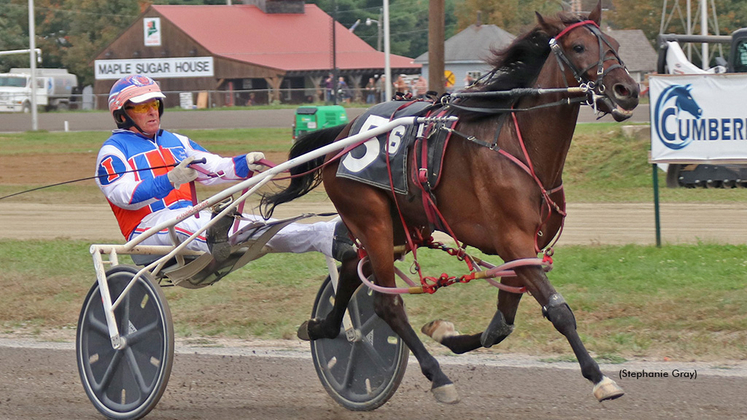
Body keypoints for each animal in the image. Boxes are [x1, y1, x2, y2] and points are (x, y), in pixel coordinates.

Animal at [262, 2, 636, 404]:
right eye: (579, 47)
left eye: (614, 44)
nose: (628, 90)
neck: (520, 147)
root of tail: (343, 134)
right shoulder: (513, 240)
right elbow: (558, 309)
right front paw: (599, 377)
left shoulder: (525, 250)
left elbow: (501, 325)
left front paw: (446, 333)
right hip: (371, 217)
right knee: (387, 303)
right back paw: (437, 376)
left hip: (399, 226)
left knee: (350, 270)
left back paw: (324, 328)